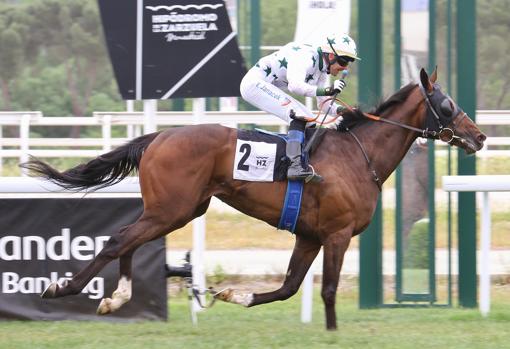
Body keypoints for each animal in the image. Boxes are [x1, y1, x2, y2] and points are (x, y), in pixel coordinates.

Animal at [21, 68, 486, 328]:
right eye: (447, 104)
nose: (479, 137)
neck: (359, 155)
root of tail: (159, 136)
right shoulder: (337, 235)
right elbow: (328, 290)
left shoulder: (309, 236)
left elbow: (289, 287)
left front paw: (234, 295)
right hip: (173, 208)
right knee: (121, 239)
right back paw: (64, 288)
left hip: (177, 209)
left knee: (129, 240)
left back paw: (115, 297)